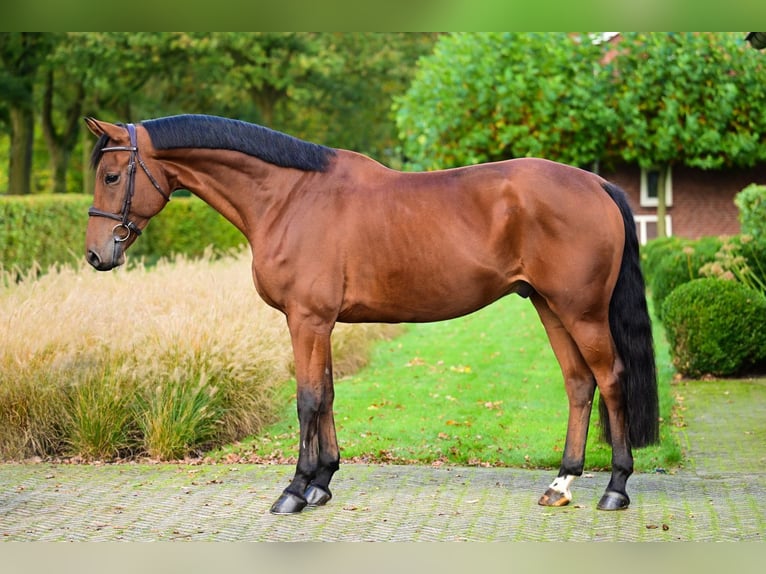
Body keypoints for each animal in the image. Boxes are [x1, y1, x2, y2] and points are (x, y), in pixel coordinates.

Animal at [82, 113, 660, 516]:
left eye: (111, 175)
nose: (96, 254)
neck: (289, 197)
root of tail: (596, 184)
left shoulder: (307, 320)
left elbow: (307, 399)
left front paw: (294, 490)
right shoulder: (319, 322)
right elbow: (328, 394)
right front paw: (321, 483)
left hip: (581, 311)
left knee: (610, 379)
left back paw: (615, 487)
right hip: (549, 306)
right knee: (578, 383)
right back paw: (561, 484)